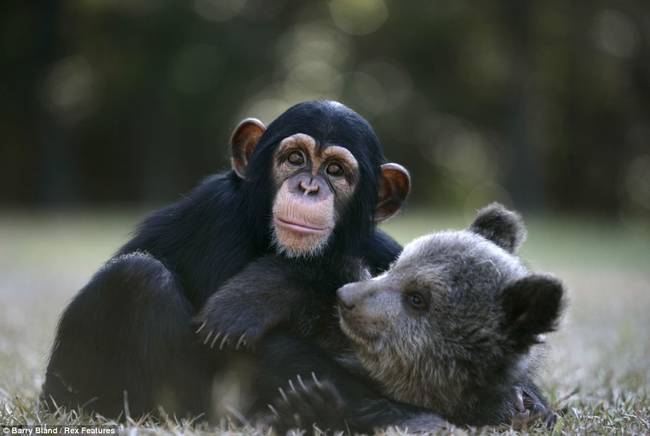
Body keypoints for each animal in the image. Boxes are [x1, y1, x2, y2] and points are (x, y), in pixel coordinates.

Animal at [41, 100, 416, 420]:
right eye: (295, 158)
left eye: (335, 170)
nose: (308, 187)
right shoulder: (219, 215)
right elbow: (237, 349)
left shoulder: (385, 249)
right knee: (138, 276)